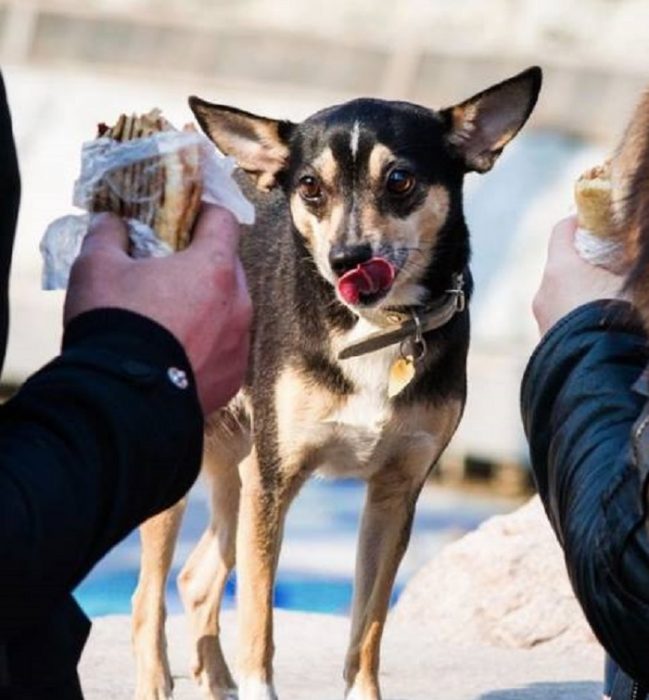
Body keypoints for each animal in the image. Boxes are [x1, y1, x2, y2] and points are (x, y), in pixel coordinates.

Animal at [132, 67, 540, 700]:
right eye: (309, 188)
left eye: (399, 180)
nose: (348, 258)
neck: (377, 327)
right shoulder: (275, 483)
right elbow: (260, 621)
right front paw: (258, 685)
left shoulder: (393, 495)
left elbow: (368, 626)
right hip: (202, 470)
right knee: (148, 593)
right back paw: (156, 680)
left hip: (240, 470)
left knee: (196, 578)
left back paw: (215, 679)